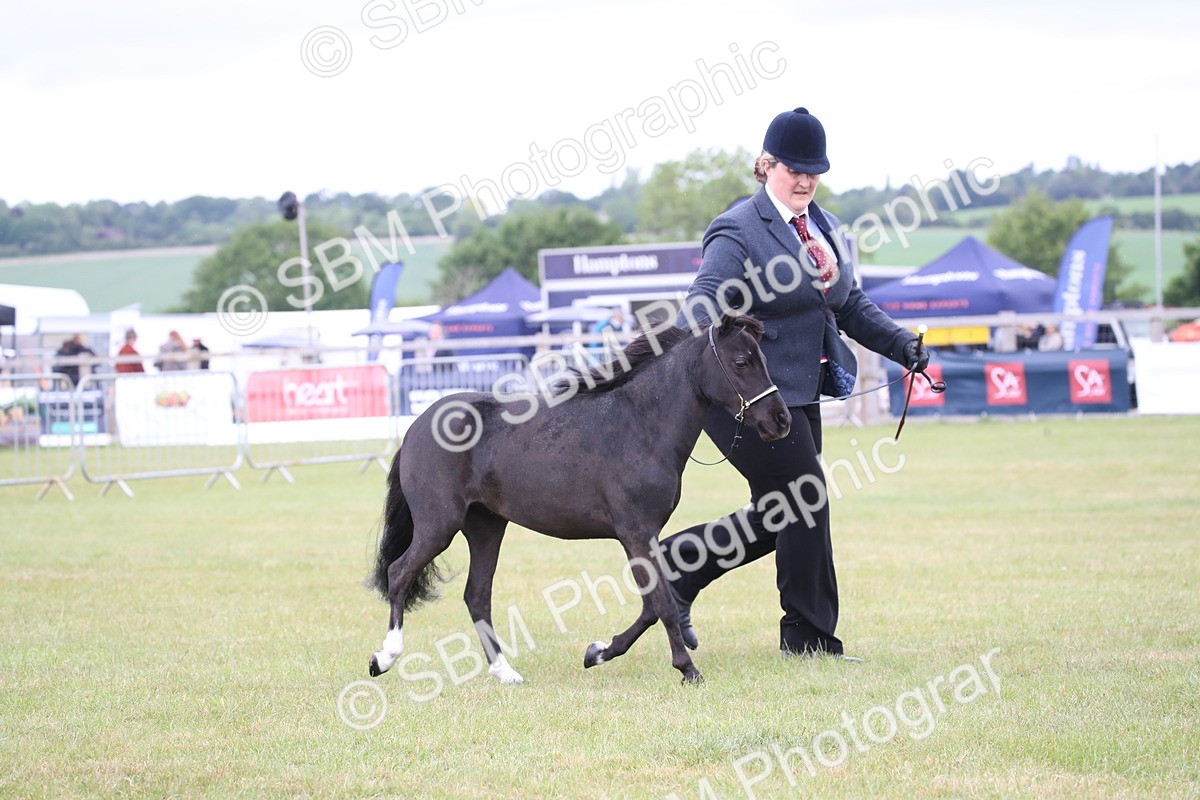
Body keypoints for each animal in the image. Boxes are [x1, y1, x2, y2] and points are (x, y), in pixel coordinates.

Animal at [367, 313, 792, 685]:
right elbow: (662, 604)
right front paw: (687, 669)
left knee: (477, 594)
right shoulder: (635, 532)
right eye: (741, 362)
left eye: (762, 358)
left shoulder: (643, 535)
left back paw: (505, 672)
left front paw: (598, 652)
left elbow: (652, 605)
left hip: (486, 526)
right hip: (439, 524)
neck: (641, 425)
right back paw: (384, 658)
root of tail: (417, 426)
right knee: (400, 573)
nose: (781, 420)